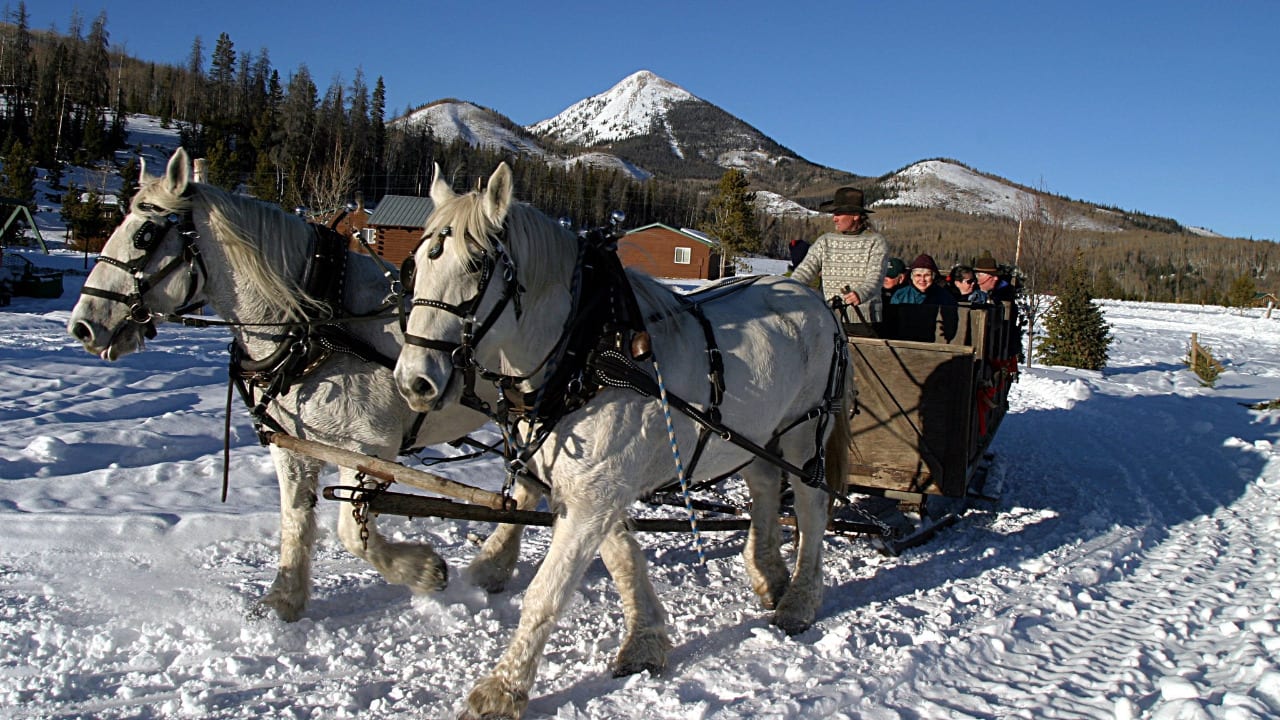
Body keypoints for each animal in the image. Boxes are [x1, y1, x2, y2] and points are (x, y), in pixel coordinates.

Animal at [66, 146, 535, 617]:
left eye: (144, 235)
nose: (83, 326)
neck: (317, 327)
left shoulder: (368, 450)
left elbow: (352, 533)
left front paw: (423, 570)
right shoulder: (294, 445)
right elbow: (294, 518)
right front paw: (284, 600)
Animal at [389, 162, 849, 717]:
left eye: (478, 264)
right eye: (414, 264)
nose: (414, 381)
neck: (586, 352)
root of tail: (816, 300)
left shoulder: (596, 493)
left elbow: (547, 591)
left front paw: (502, 689)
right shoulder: (593, 490)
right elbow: (623, 557)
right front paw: (645, 640)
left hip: (804, 431)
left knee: (810, 504)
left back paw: (800, 600)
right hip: (759, 433)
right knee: (763, 489)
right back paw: (768, 574)